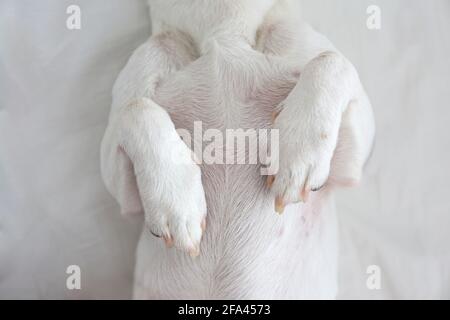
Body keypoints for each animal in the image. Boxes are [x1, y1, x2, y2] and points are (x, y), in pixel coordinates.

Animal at [100, 0, 374, 300]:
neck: (224, 31)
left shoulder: (349, 170)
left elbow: (331, 60)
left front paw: (298, 152)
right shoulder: (127, 199)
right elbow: (135, 107)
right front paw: (176, 201)